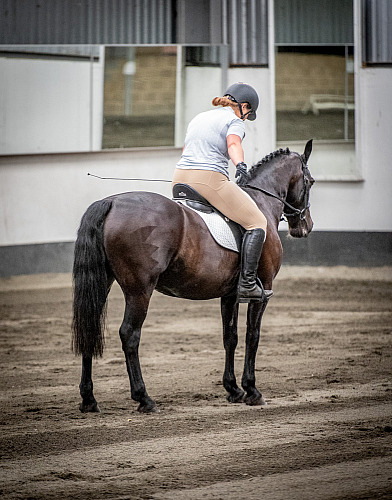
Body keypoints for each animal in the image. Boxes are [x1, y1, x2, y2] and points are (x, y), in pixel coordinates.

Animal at [72, 139, 314, 412]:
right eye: (310, 181)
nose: (305, 226)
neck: (261, 202)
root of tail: (111, 202)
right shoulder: (262, 293)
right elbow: (253, 336)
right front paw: (251, 390)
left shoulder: (230, 294)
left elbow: (230, 337)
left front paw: (233, 389)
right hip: (139, 290)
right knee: (130, 335)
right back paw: (144, 398)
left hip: (104, 283)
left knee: (90, 328)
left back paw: (89, 399)